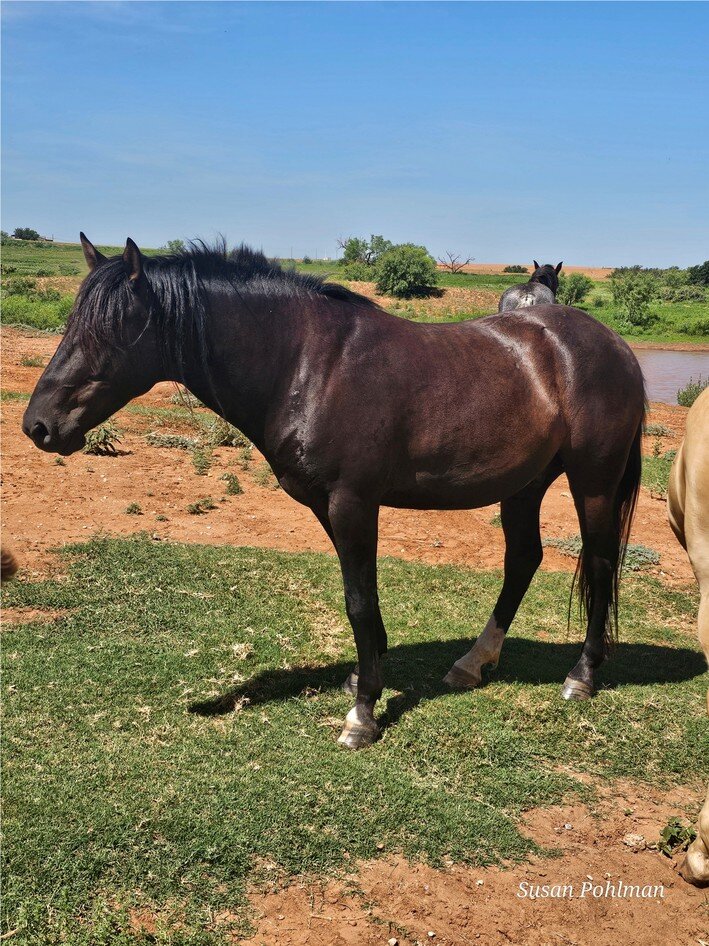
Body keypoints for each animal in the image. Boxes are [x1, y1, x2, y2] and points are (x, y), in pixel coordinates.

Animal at [23, 235, 645, 750]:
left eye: (108, 331)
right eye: (72, 324)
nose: (38, 426)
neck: (308, 364)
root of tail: (613, 345)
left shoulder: (353, 502)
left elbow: (359, 601)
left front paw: (363, 714)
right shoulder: (328, 504)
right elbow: (362, 600)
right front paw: (365, 677)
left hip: (592, 482)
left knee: (599, 562)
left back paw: (581, 676)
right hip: (524, 486)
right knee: (523, 561)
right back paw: (473, 663)